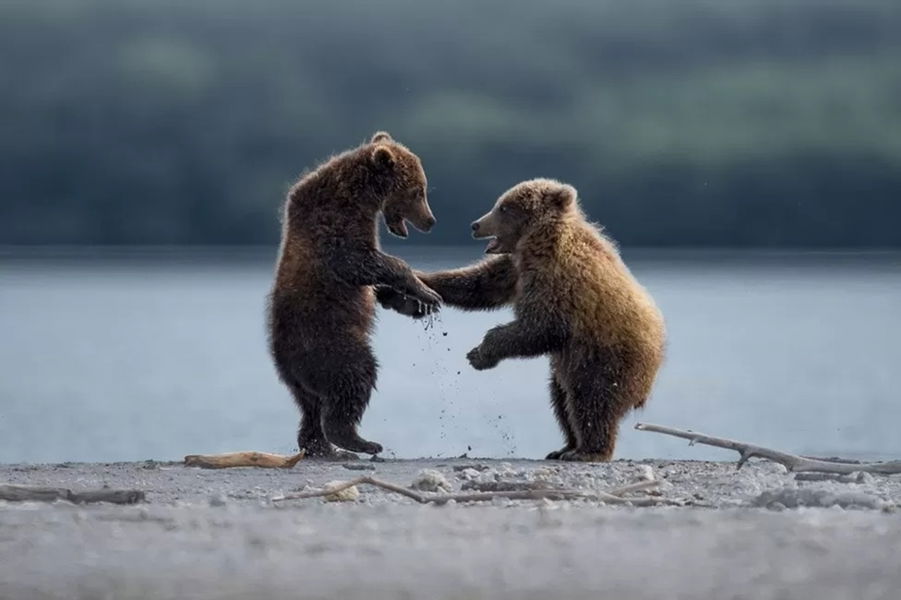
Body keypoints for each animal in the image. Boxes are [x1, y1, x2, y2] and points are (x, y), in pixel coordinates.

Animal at [270, 132, 442, 460]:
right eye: (418, 191)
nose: (431, 221)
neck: (360, 197)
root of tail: (284, 361)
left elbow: (375, 283)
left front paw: (415, 304)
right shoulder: (333, 227)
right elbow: (363, 262)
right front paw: (427, 292)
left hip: (300, 378)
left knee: (310, 407)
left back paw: (322, 446)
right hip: (330, 344)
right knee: (354, 378)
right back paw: (358, 441)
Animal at [376, 178, 664, 460]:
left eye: (504, 207)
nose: (475, 224)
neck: (537, 242)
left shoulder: (557, 279)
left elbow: (540, 327)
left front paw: (480, 354)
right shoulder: (515, 268)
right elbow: (478, 284)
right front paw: (402, 290)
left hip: (604, 358)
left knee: (591, 400)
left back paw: (588, 451)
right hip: (571, 364)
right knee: (561, 399)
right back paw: (565, 447)